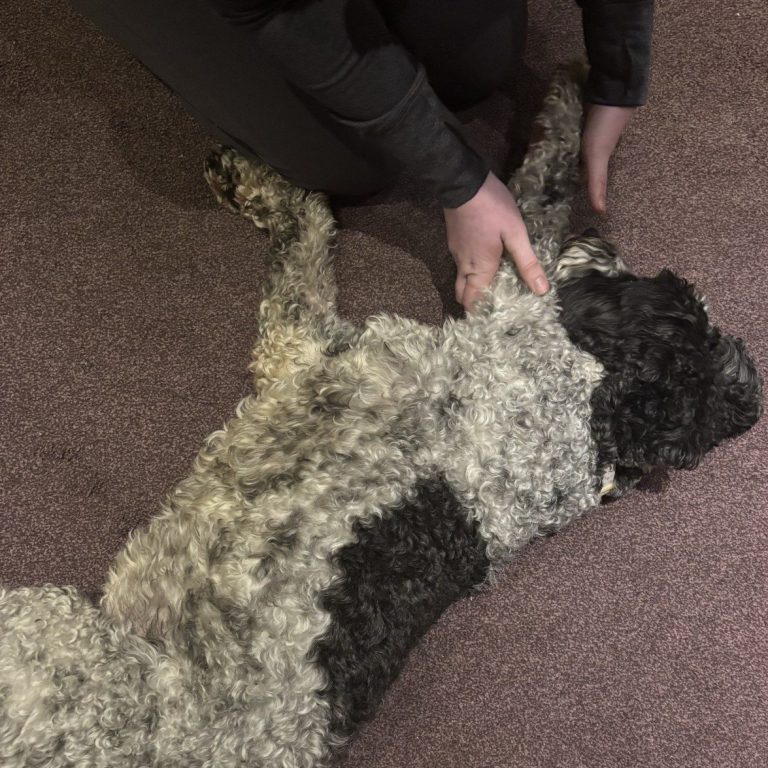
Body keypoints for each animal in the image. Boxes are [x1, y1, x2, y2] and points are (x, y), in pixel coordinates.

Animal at [0, 65, 761, 768]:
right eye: (680, 298)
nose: (603, 240)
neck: (594, 414)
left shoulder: (323, 342)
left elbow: (518, 189)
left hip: (48, 632)